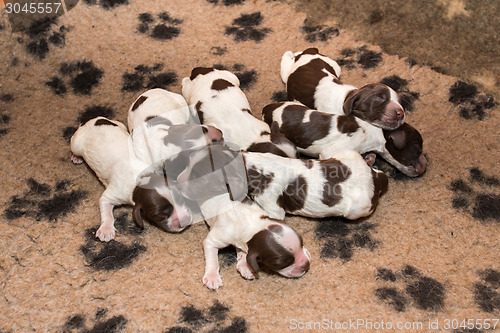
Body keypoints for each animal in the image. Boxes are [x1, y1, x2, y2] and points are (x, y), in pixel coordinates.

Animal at [175, 145, 308, 288]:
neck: (253, 223)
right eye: (280, 263)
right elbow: (212, 257)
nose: (306, 265)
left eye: (302, 243)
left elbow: (244, 252)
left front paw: (245, 266)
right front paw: (212, 277)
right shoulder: (215, 239)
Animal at [262, 101, 426, 178]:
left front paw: (369, 158)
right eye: (418, 148)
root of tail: (267, 108)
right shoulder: (328, 153)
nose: (426, 166)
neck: (374, 131)